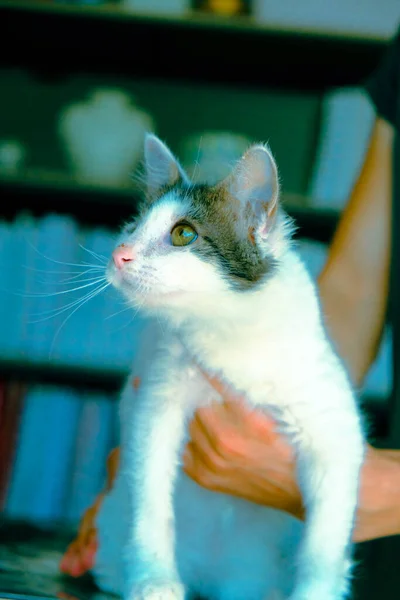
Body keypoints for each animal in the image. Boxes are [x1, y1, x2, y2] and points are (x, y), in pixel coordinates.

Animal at [91, 135, 366, 600]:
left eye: (183, 234)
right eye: (133, 226)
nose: (119, 253)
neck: (228, 330)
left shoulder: (335, 432)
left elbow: (325, 545)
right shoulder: (156, 403)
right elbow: (151, 500)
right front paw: (154, 580)